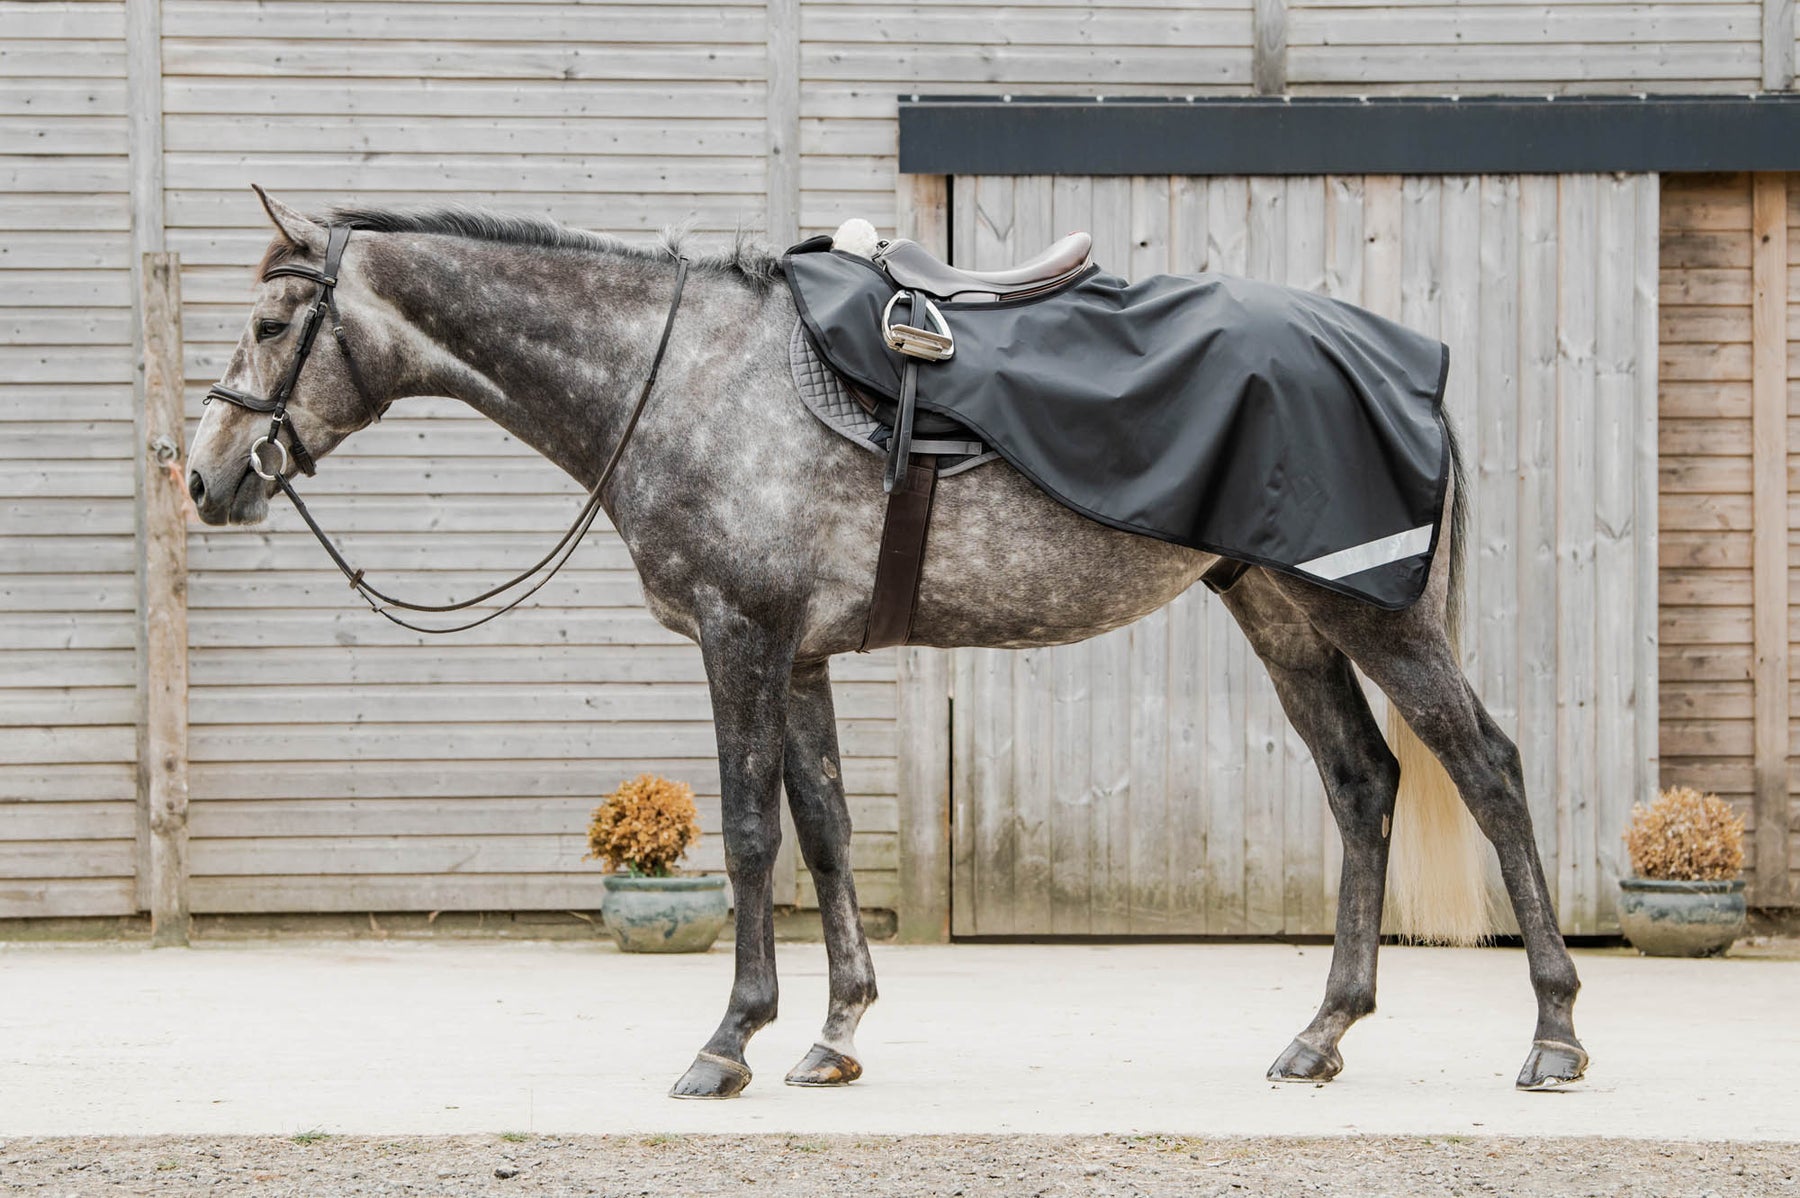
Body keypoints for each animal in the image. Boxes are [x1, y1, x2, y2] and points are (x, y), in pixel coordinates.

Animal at [185, 188, 1587, 1099]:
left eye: (272, 325)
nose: (203, 478)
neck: (674, 373)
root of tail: (1407, 364)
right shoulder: (799, 653)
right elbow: (825, 826)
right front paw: (835, 1030)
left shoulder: (739, 637)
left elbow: (751, 837)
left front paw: (729, 1040)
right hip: (1283, 615)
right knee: (1363, 783)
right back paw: (1322, 1033)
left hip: (1376, 613)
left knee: (1488, 768)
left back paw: (1555, 1033)